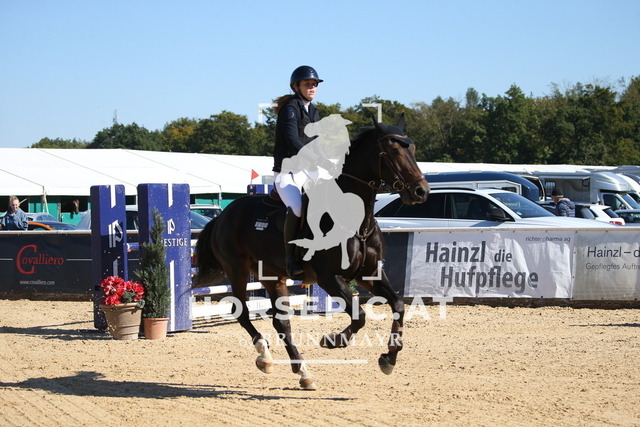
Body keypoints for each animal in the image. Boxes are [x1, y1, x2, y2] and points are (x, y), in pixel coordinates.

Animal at [194, 114, 429, 390]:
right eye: (392, 150)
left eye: (412, 148)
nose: (421, 192)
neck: (354, 220)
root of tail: (223, 215)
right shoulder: (329, 278)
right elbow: (359, 315)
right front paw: (332, 340)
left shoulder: (369, 275)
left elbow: (398, 305)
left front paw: (389, 358)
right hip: (237, 269)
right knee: (242, 313)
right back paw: (265, 356)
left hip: (272, 276)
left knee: (281, 322)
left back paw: (303, 372)